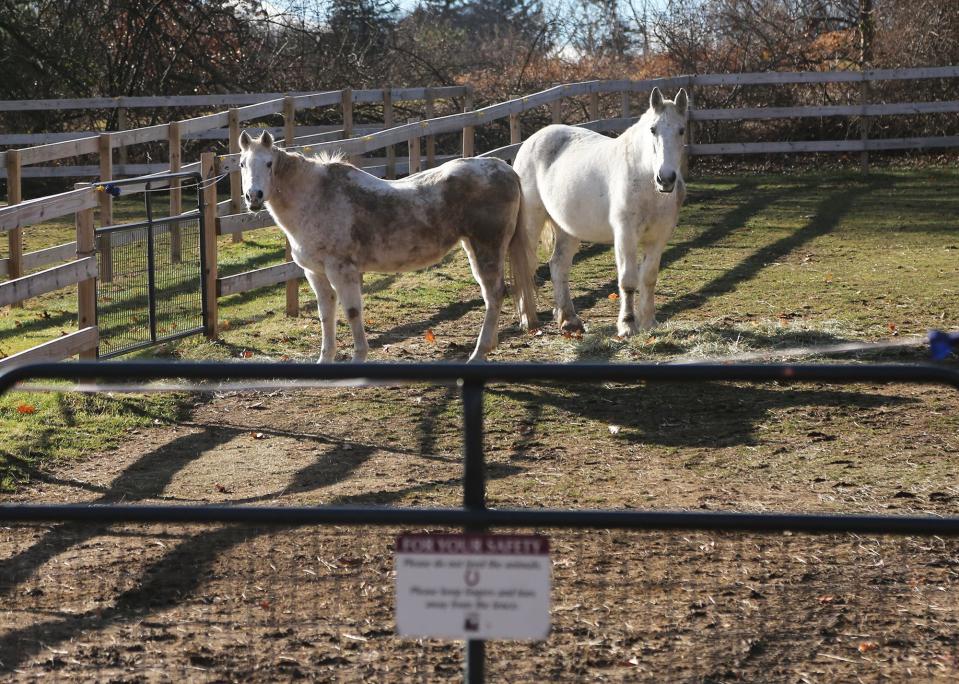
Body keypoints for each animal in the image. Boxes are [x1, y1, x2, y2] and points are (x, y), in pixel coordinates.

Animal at [238, 130, 540, 360]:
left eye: (268, 163)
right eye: (242, 164)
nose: (254, 196)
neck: (317, 197)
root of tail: (505, 169)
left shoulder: (342, 270)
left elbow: (352, 312)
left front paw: (359, 357)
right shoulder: (316, 273)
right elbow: (327, 315)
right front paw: (326, 359)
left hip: (487, 247)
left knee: (494, 294)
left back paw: (478, 354)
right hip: (473, 246)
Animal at [516, 87, 688, 338]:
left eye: (681, 130)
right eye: (652, 129)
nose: (665, 179)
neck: (644, 180)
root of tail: (531, 140)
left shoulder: (659, 238)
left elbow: (648, 278)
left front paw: (649, 323)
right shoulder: (625, 235)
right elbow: (628, 280)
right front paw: (627, 325)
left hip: (567, 229)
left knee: (558, 266)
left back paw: (569, 320)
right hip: (530, 224)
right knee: (525, 266)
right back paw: (528, 320)